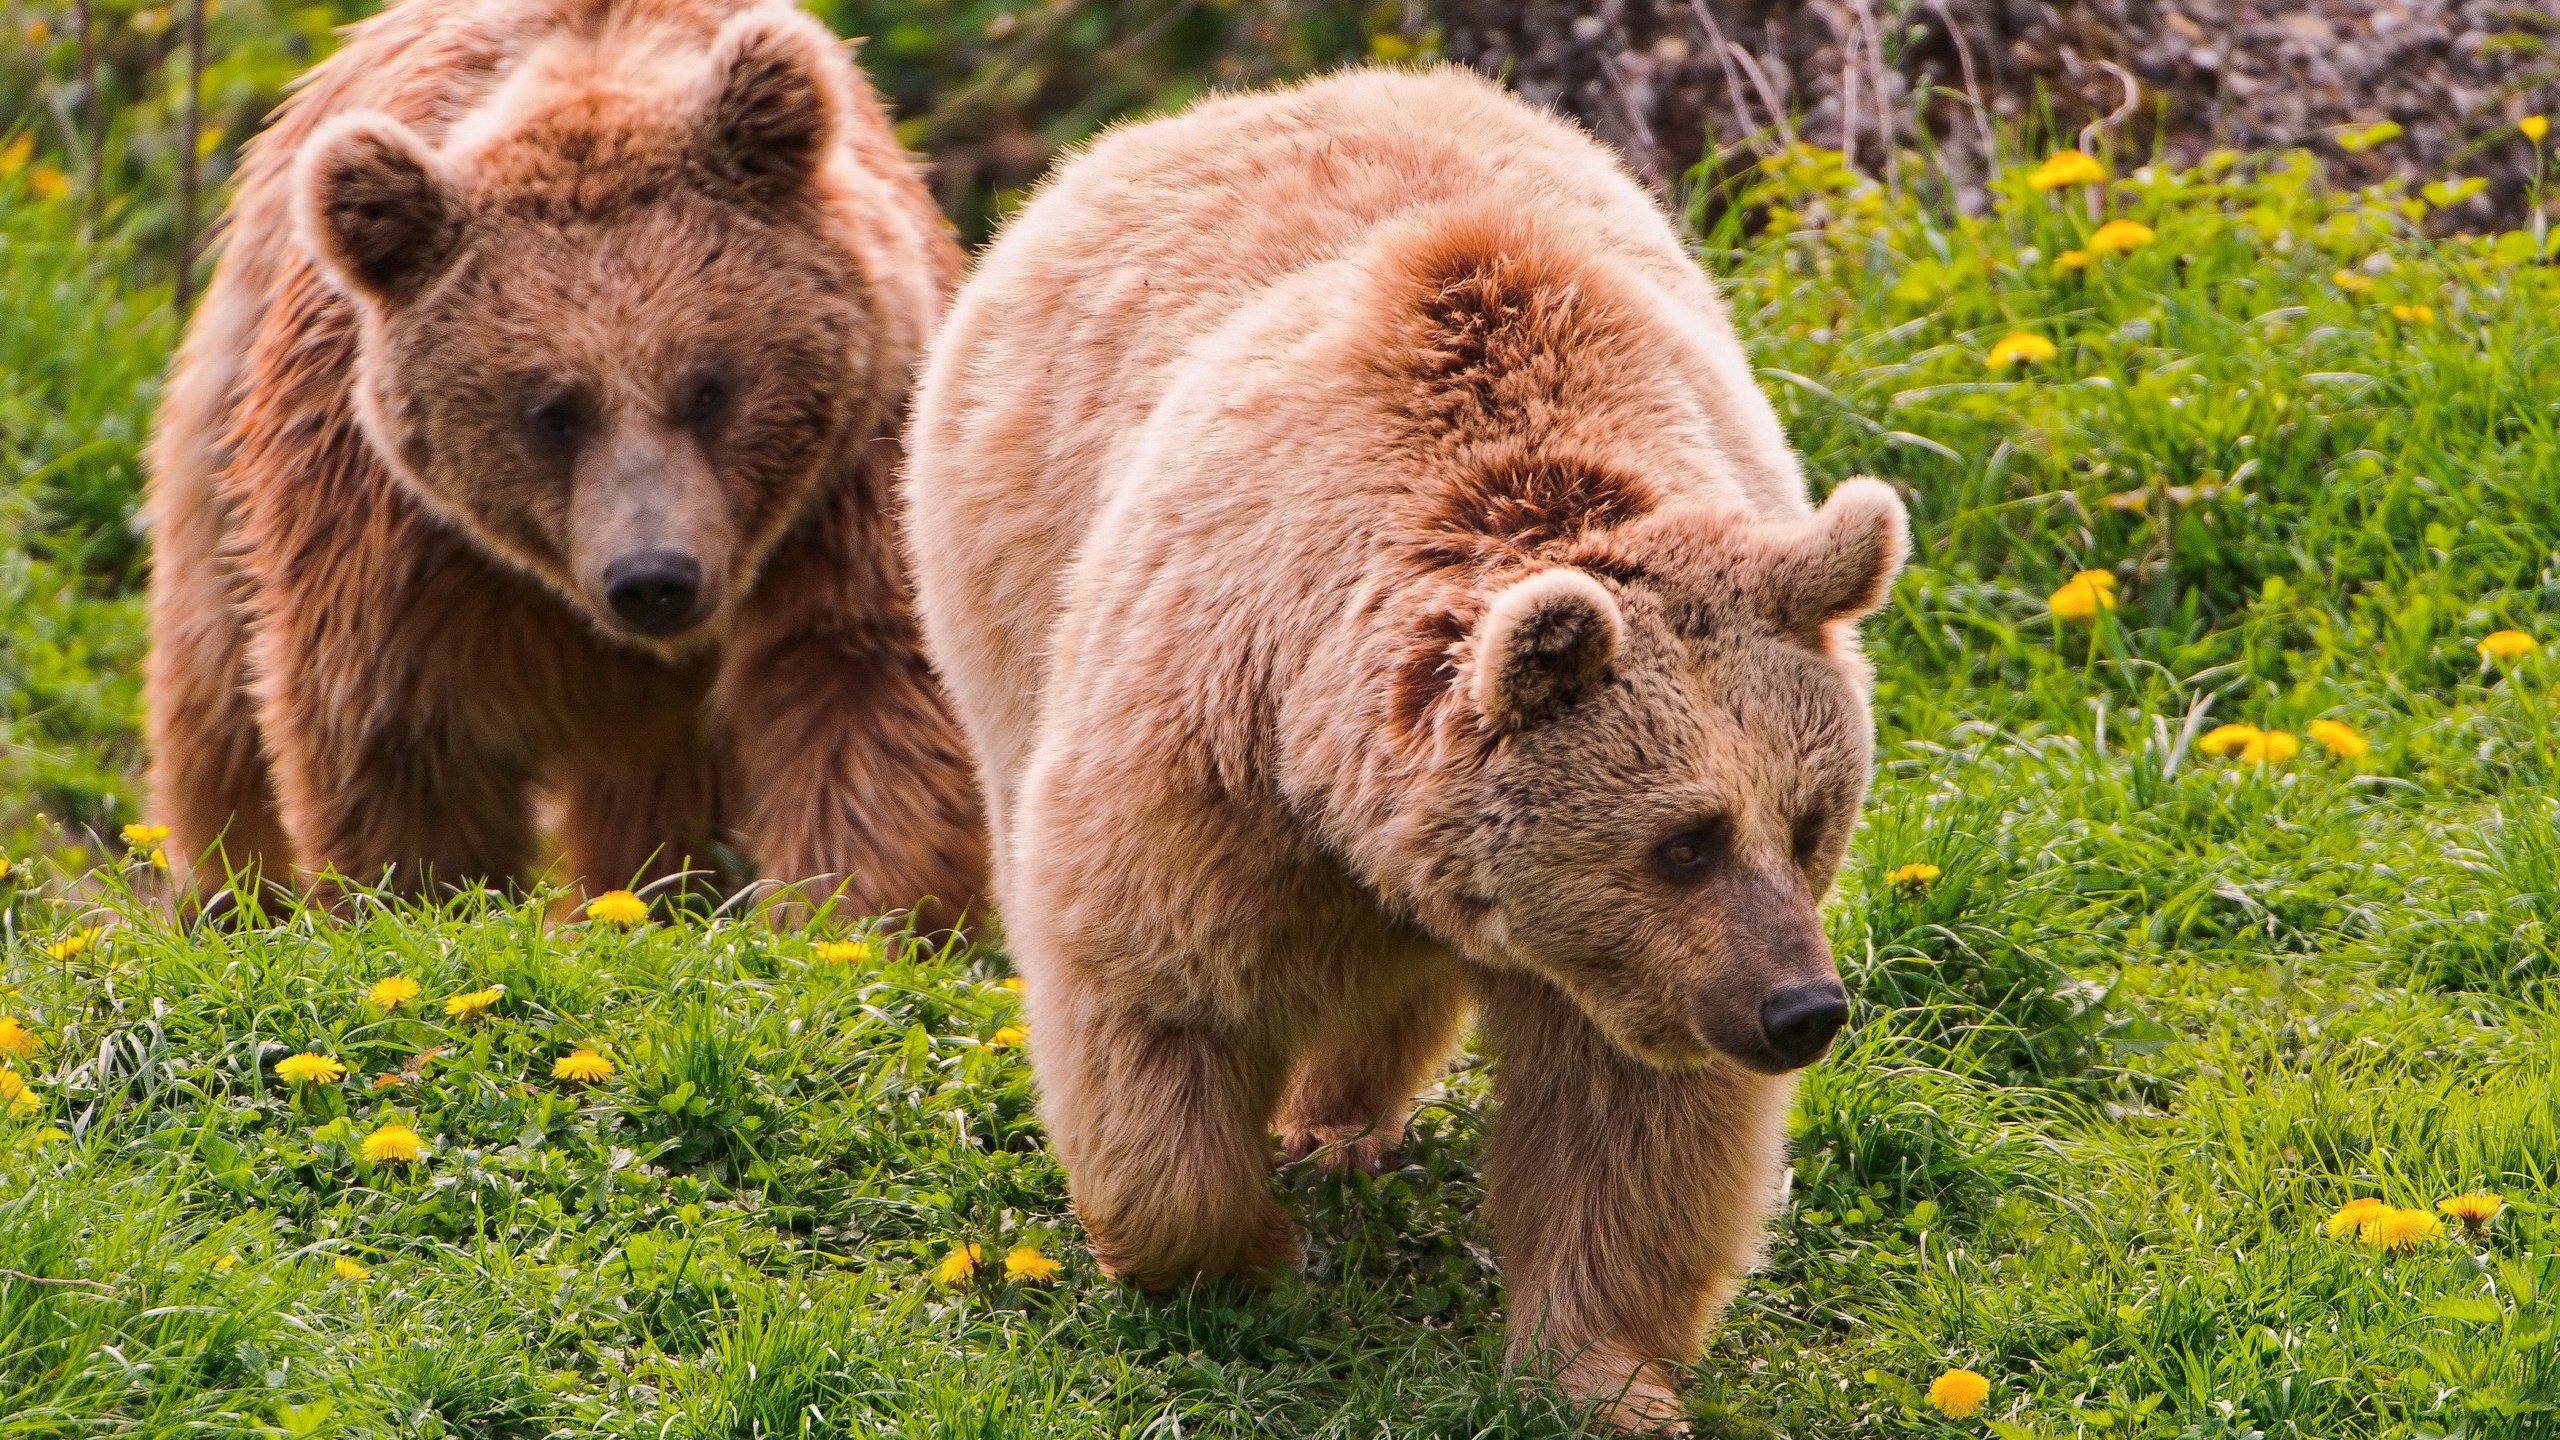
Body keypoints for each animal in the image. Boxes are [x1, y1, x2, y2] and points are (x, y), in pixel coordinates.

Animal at [143, 0, 985, 927]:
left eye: (709, 388)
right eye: (552, 412)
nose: (654, 579)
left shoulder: (852, 486)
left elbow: (866, 689)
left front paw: (840, 916)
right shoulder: (395, 534)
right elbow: (396, 737)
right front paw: (424, 899)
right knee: (213, 687)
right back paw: (226, 892)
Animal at [900, 67, 1906, 1427]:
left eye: (1809, 823)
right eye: (1684, 841)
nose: (1800, 1008)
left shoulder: (1628, 970)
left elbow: (1630, 1130)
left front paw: (1604, 1374)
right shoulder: (1212, 749)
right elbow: (1152, 990)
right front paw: (1239, 1255)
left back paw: (1346, 1118)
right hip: (1002, 578)